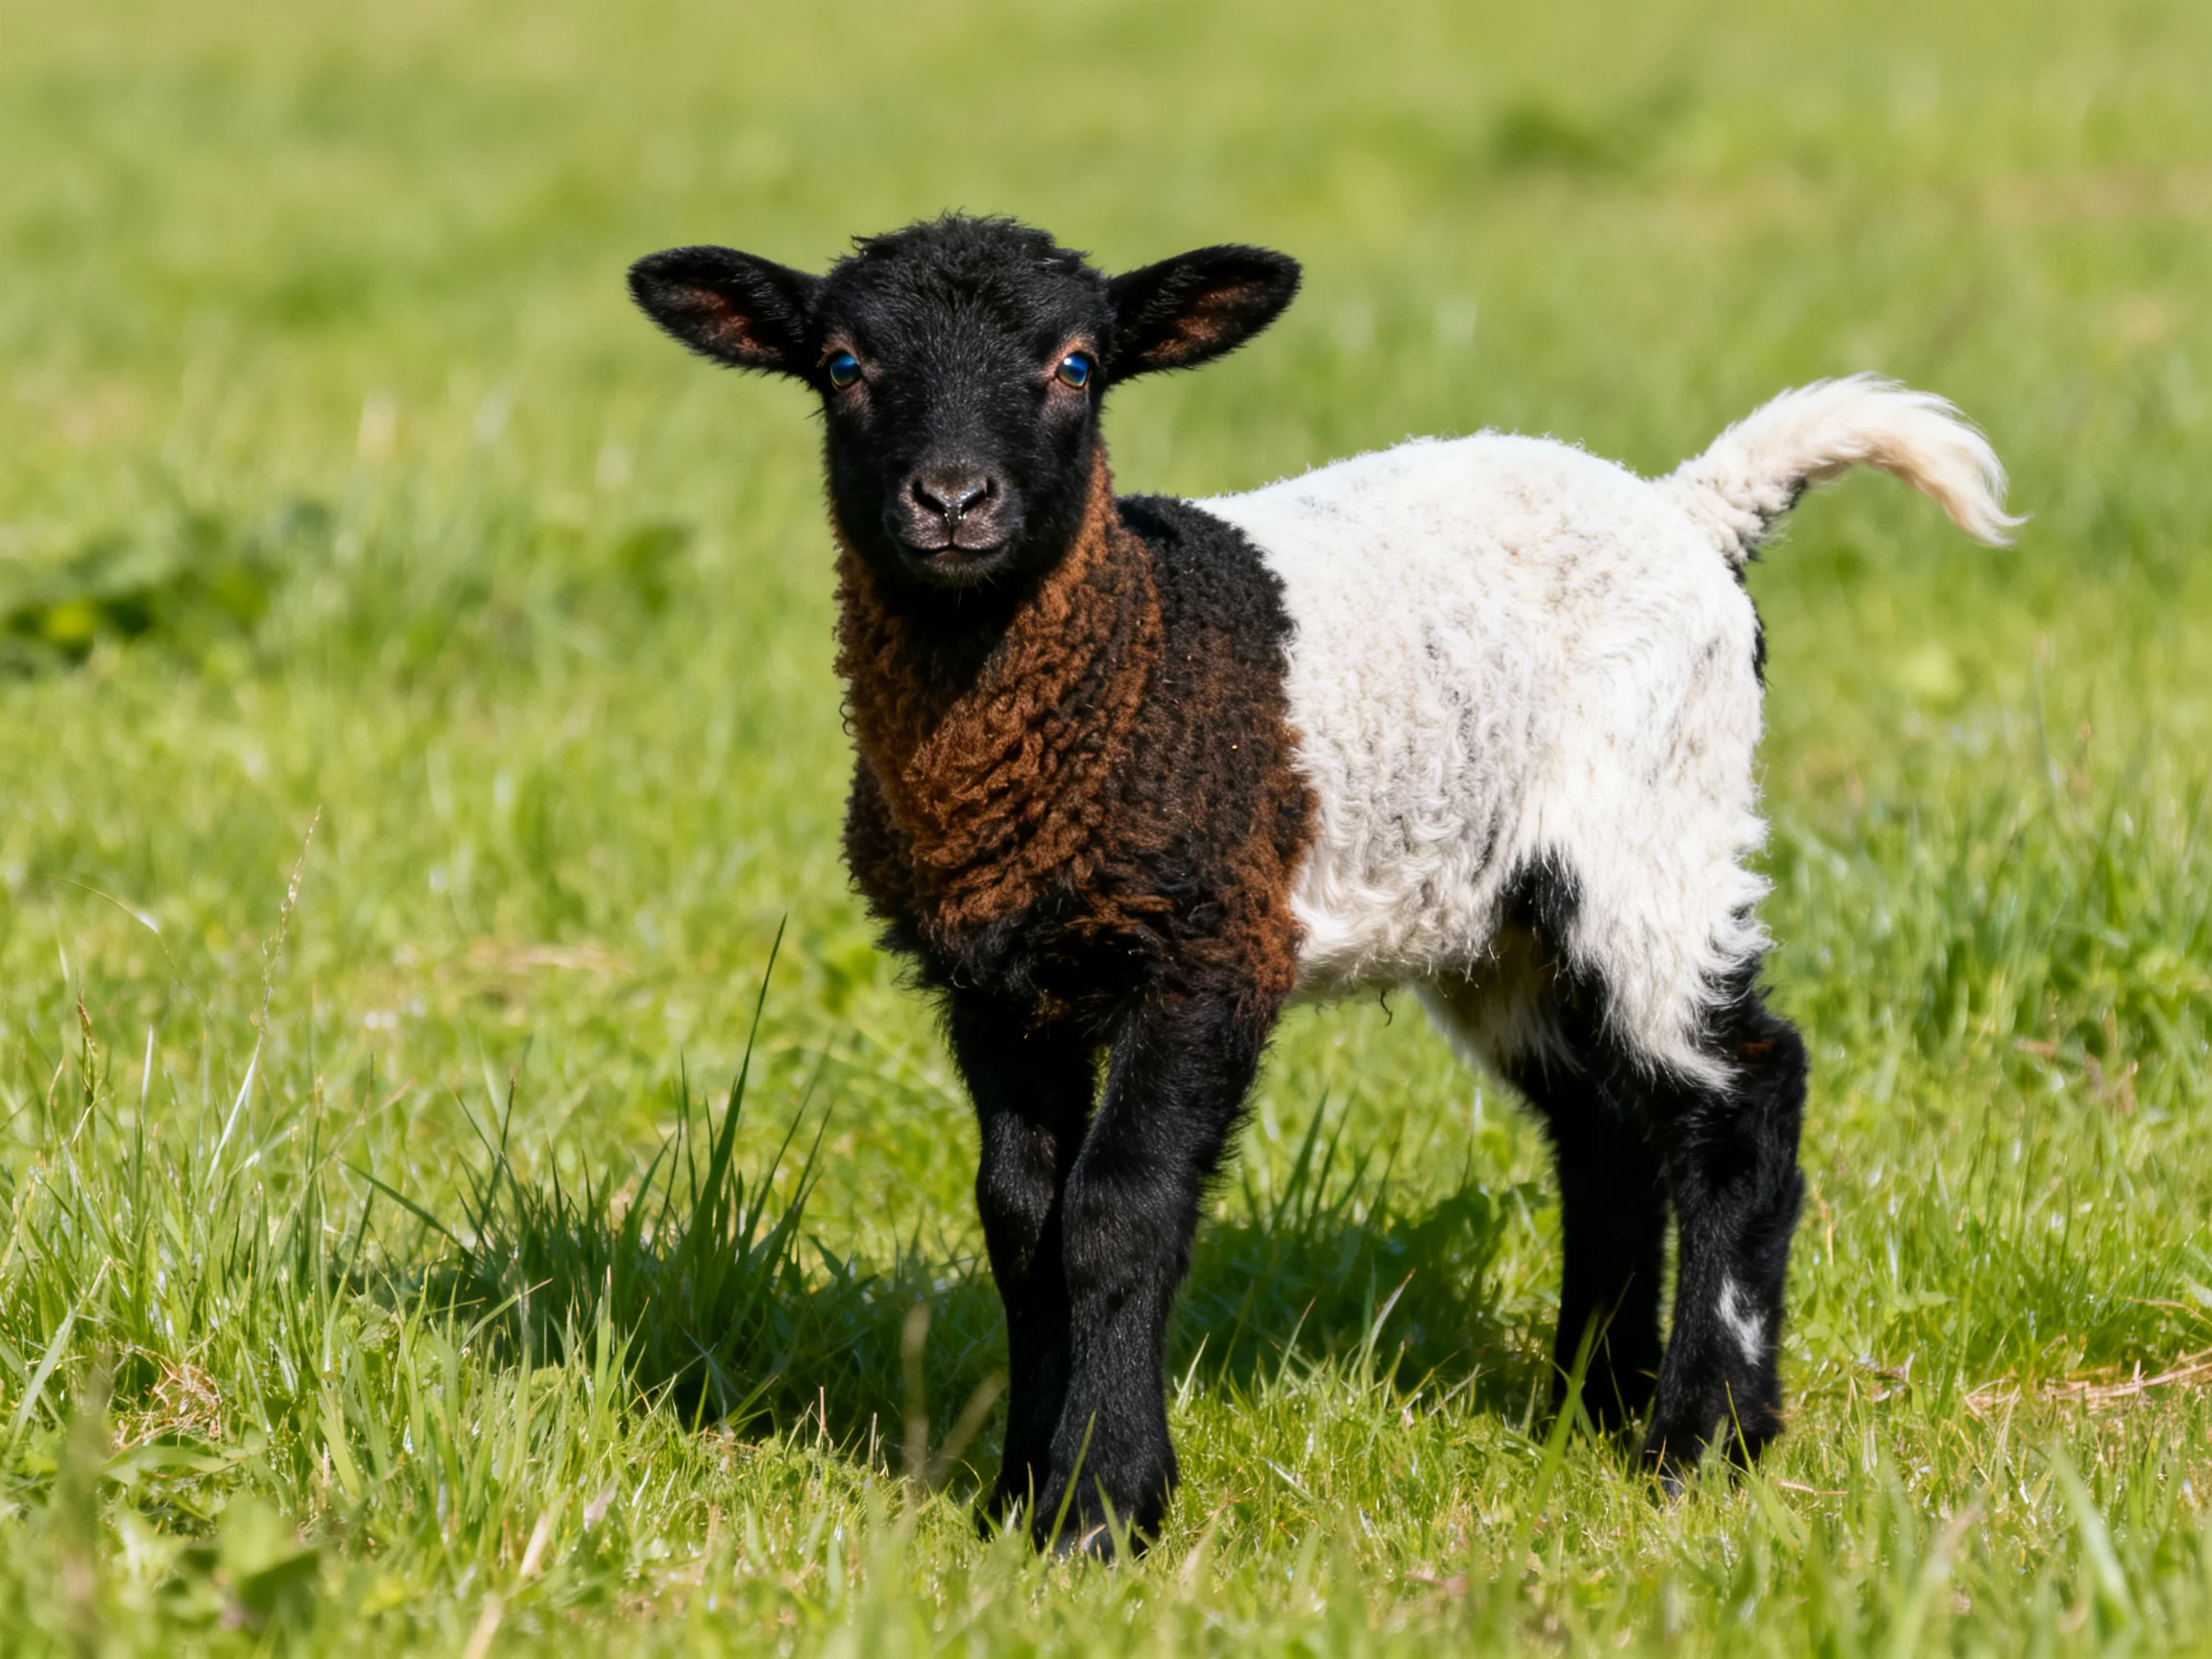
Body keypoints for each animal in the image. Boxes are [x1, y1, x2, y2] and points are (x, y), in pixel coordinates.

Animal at [628, 213, 2017, 1556]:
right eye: (843, 367)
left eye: (1076, 366)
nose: (955, 499)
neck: (1120, 660)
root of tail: (1688, 511)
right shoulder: (998, 980)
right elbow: (1021, 1216)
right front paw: (1018, 1486)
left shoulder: (1211, 943)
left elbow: (1117, 1211)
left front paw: (1104, 1505)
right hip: (1505, 922)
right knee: (1612, 1126)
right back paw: (1589, 1404)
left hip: (1661, 828)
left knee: (1744, 1094)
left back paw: (1703, 1436)